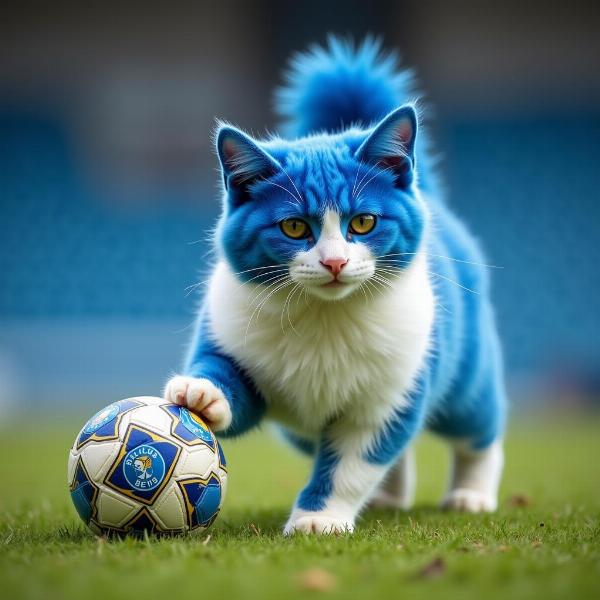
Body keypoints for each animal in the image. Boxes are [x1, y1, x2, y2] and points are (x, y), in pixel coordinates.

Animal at [165, 37, 506, 536]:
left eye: (362, 222)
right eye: (293, 227)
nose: (335, 261)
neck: (324, 317)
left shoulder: (388, 395)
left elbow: (351, 464)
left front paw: (318, 518)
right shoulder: (230, 329)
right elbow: (230, 384)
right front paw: (201, 393)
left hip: (465, 368)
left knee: (477, 428)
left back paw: (471, 493)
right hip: (297, 429)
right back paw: (388, 497)